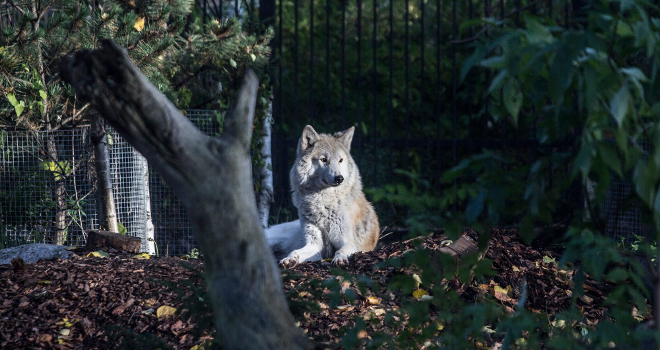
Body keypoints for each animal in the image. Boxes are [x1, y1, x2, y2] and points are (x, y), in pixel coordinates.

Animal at [264, 126, 378, 266]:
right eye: (323, 160)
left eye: (340, 160)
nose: (339, 178)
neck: (323, 203)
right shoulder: (314, 245)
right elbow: (295, 251)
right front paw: (289, 259)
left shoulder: (348, 243)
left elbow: (341, 250)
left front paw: (340, 259)